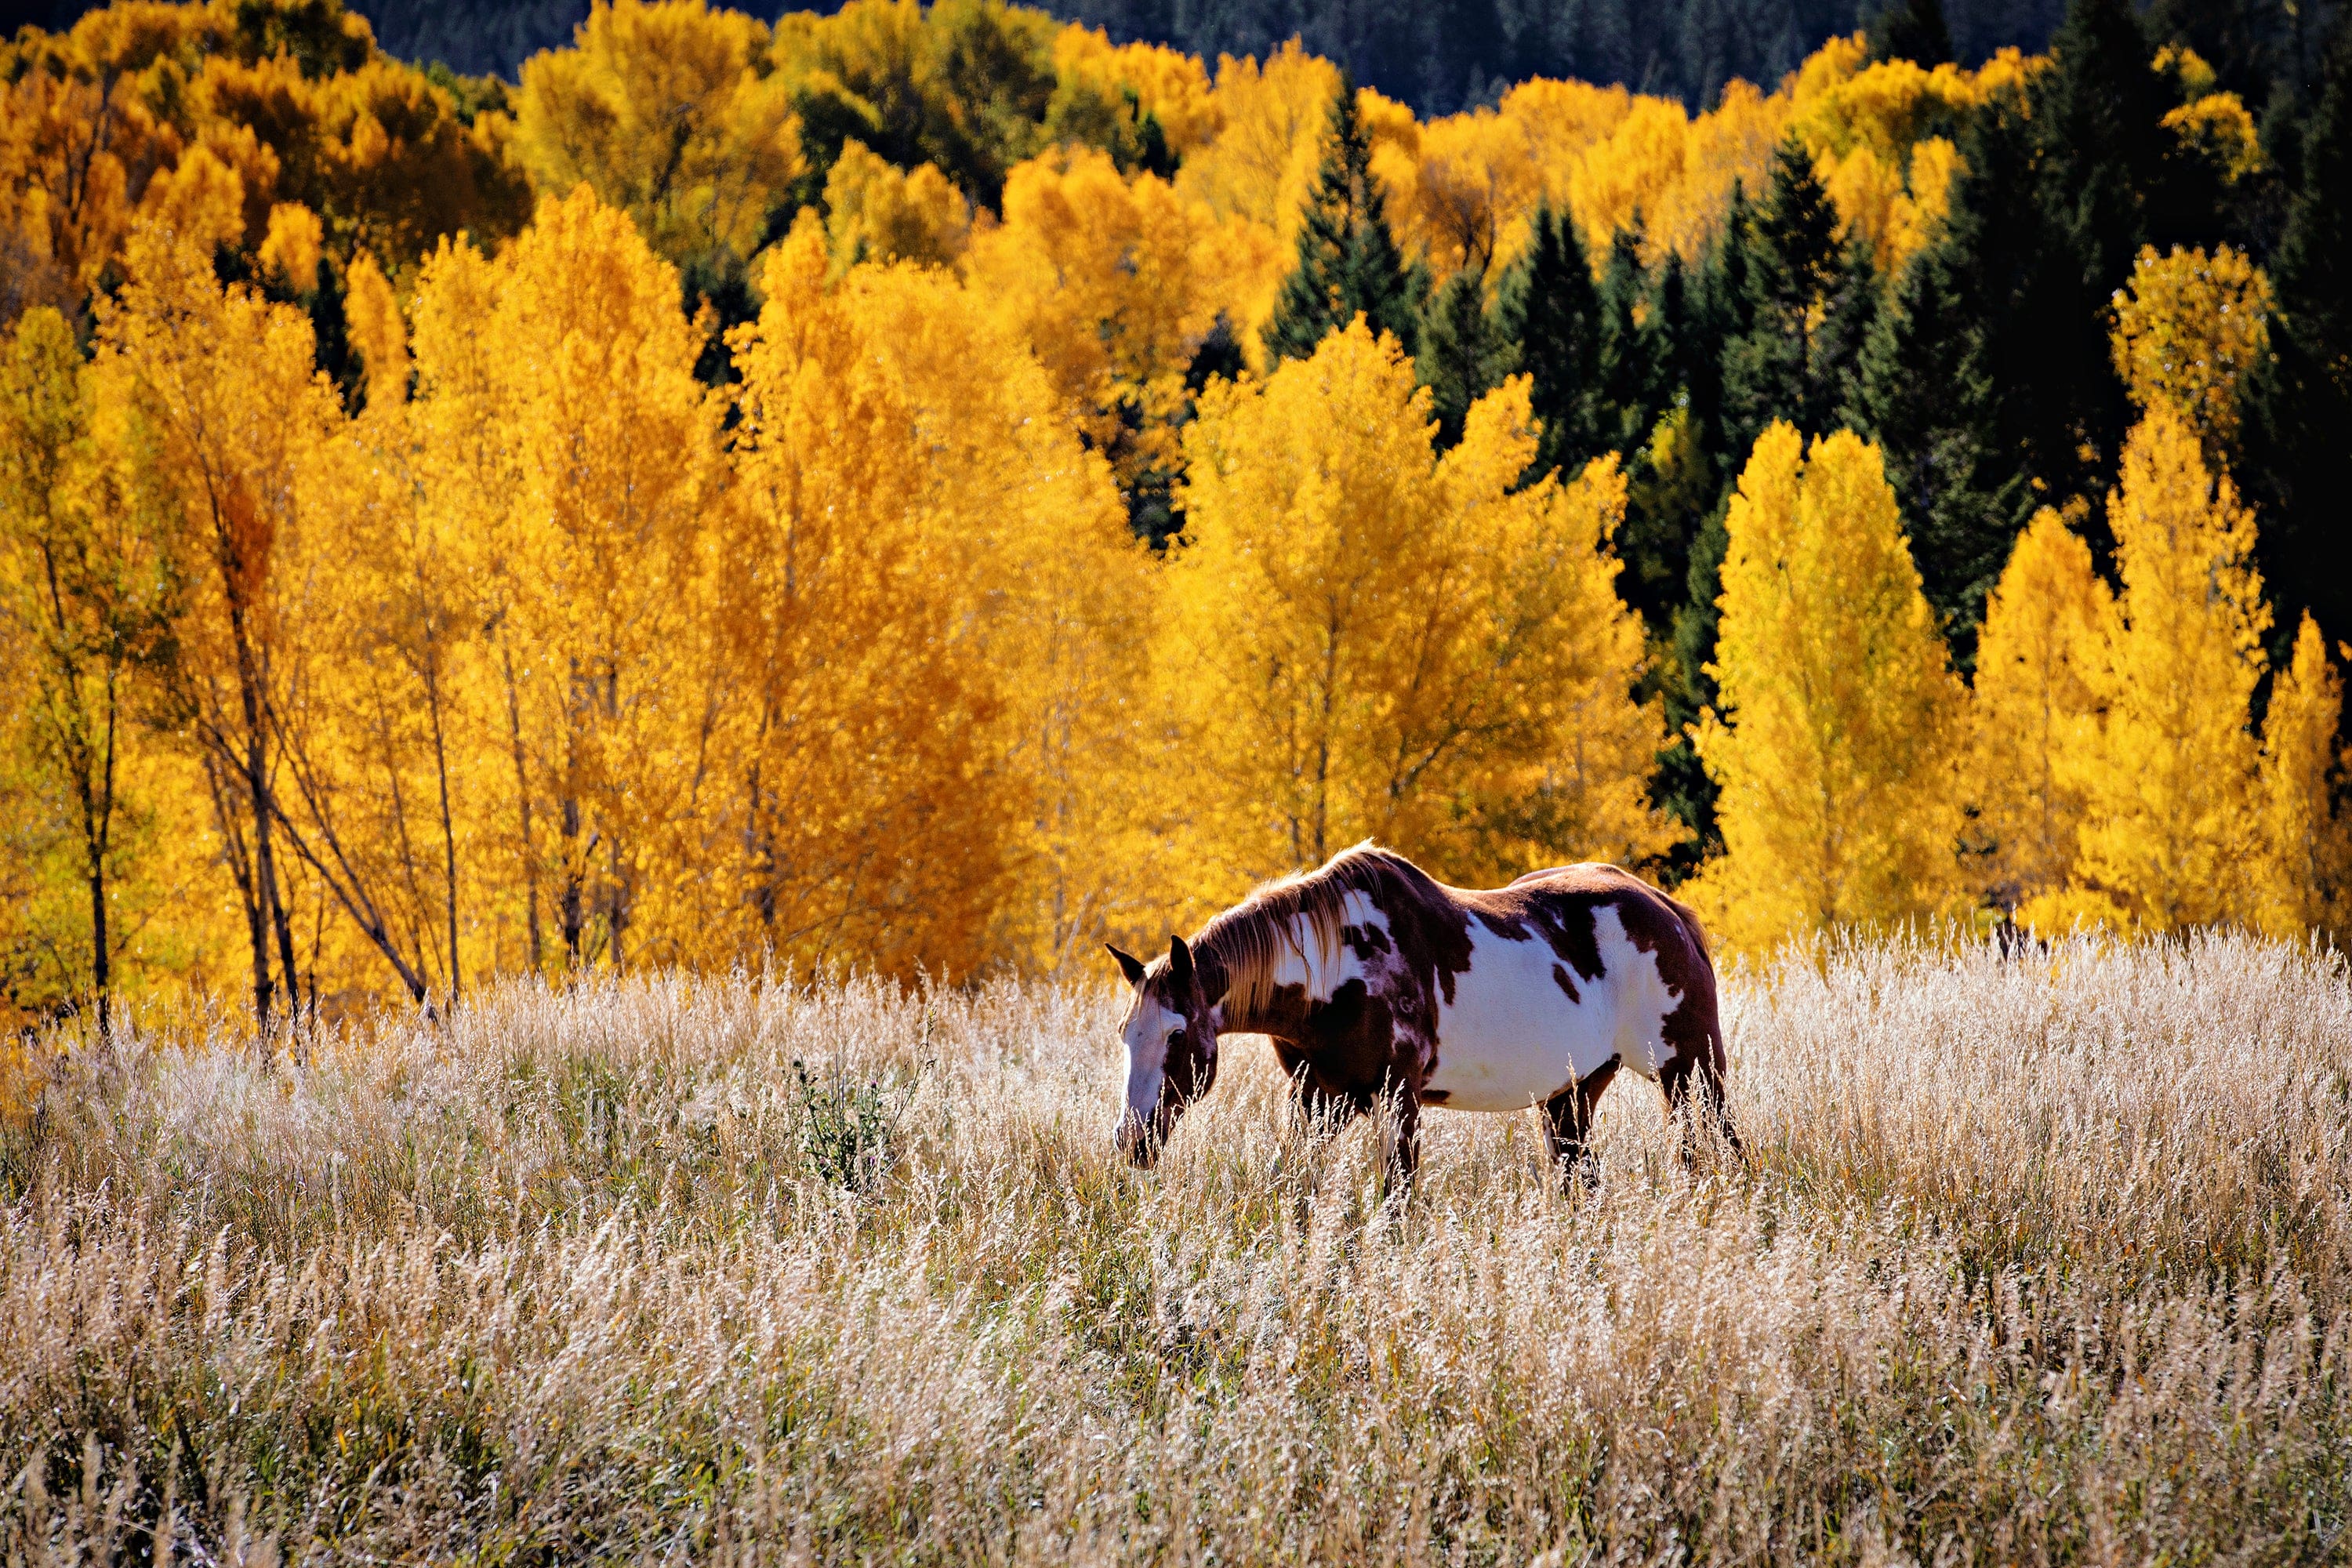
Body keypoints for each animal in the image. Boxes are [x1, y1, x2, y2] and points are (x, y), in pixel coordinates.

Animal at [1110, 846, 1740, 1175]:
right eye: (1125, 1034)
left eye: (1175, 1035)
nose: (1132, 1141)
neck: (1339, 972)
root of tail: (1668, 911)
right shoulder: (1319, 1099)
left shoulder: (1399, 1100)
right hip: (1573, 1096)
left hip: (1693, 1076)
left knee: (1731, 1153)